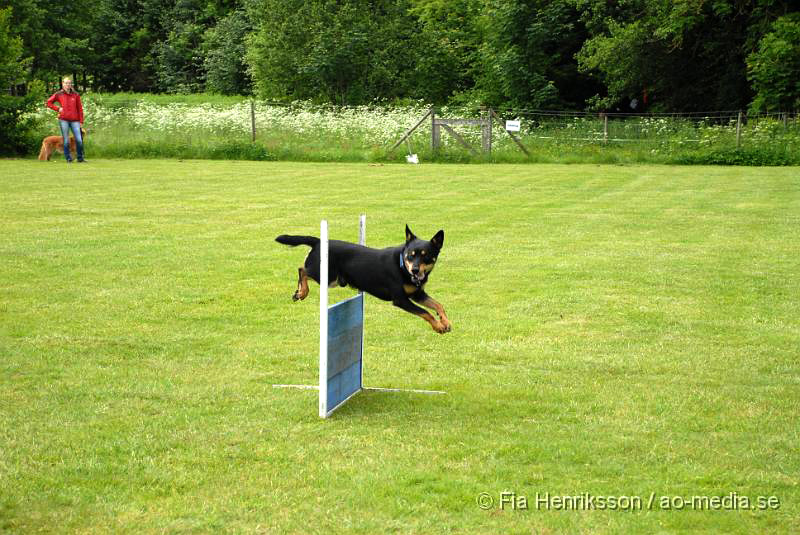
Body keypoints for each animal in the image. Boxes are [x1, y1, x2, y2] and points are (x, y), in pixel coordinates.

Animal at [276, 224, 450, 332]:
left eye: (425, 256)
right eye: (410, 255)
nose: (414, 270)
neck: (402, 267)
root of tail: (318, 241)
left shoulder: (417, 294)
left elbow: (438, 305)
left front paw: (446, 322)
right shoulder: (400, 299)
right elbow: (425, 312)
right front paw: (439, 326)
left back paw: (299, 292)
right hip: (326, 276)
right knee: (302, 269)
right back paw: (302, 292)